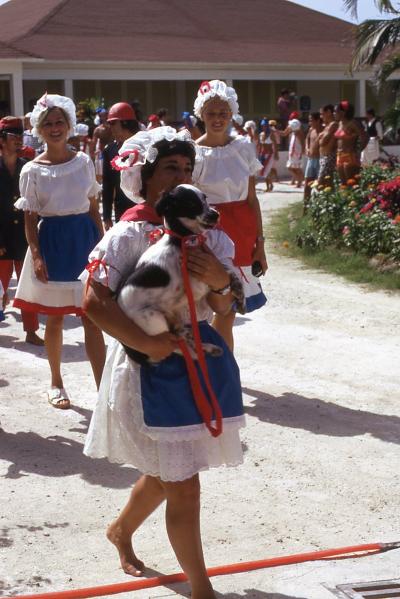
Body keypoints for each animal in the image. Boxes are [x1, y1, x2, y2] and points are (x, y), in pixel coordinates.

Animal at [116, 184, 234, 366]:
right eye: (191, 203)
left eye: (205, 198)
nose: (216, 214)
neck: (181, 242)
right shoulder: (196, 286)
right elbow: (228, 274)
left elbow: (226, 273)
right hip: (153, 320)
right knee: (175, 347)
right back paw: (195, 352)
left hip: (170, 317)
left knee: (183, 339)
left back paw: (205, 346)